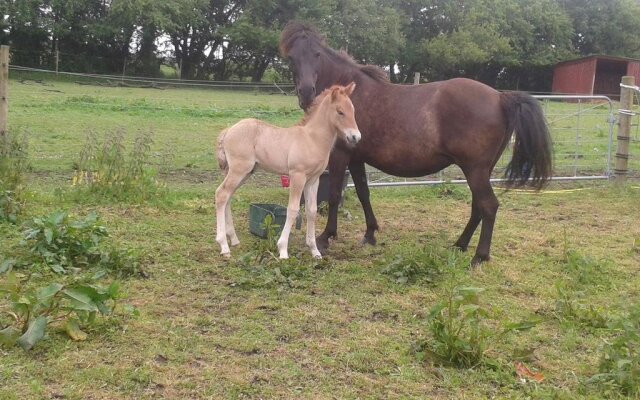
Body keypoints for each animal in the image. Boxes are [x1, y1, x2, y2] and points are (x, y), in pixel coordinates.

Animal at [216, 84, 360, 260]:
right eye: (340, 111)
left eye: (353, 110)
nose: (356, 137)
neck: (312, 139)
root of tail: (228, 130)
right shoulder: (297, 176)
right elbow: (293, 209)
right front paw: (283, 249)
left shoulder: (313, 180)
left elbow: (312, 211)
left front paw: (314, 250)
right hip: (239, 170)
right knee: (221, 194)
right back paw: (224, 246)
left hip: (244, 172)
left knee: (227, 197)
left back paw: (234, 239)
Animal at [278, 22, 552, 266]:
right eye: (291, 58)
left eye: (316, 54)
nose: (306, 92)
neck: (349, 96)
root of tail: (500, 97)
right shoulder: (356, 158)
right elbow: (364, 193)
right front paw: (370, 234)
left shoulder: (341, 155)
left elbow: (334, 195)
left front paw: (325, 237)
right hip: (480, 170)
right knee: (478, 206)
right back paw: (460, 245)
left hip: (474, 169)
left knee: (489, 206)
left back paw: (479, 256)